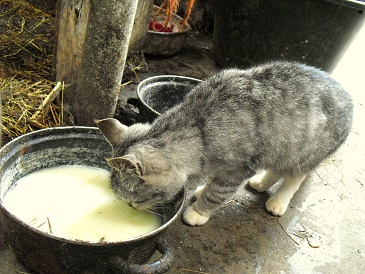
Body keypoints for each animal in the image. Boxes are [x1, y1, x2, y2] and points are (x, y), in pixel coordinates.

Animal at [96, 61, 352, 226]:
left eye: (134, 200)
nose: (130, 207)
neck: (198, 128)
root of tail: (347, 95)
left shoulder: (237, 169)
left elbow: (217, 193)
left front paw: (199, 211)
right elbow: (211, 181)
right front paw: (202, 189)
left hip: (304, 151)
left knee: (294, 176)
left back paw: (279, 201)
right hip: (281, 149)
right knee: (276, 169)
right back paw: (261, 183)